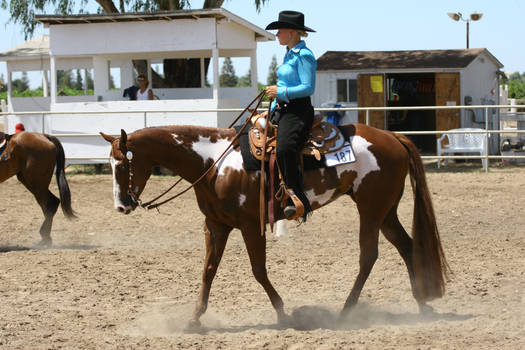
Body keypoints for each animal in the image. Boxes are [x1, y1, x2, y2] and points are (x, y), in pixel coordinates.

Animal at [100, 122, 448, 328]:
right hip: (386, 210)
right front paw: (194, 319)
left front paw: (283, 313)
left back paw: (347, 311)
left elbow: (258, 271)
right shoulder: (216, 225)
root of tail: (393, 137)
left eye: (122, 165)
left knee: (369, 256)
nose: (121, 206)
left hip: (371, 209)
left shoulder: (250, 225)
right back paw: (421, 305)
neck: (214, 163)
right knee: (406, 247)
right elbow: (208, 270)